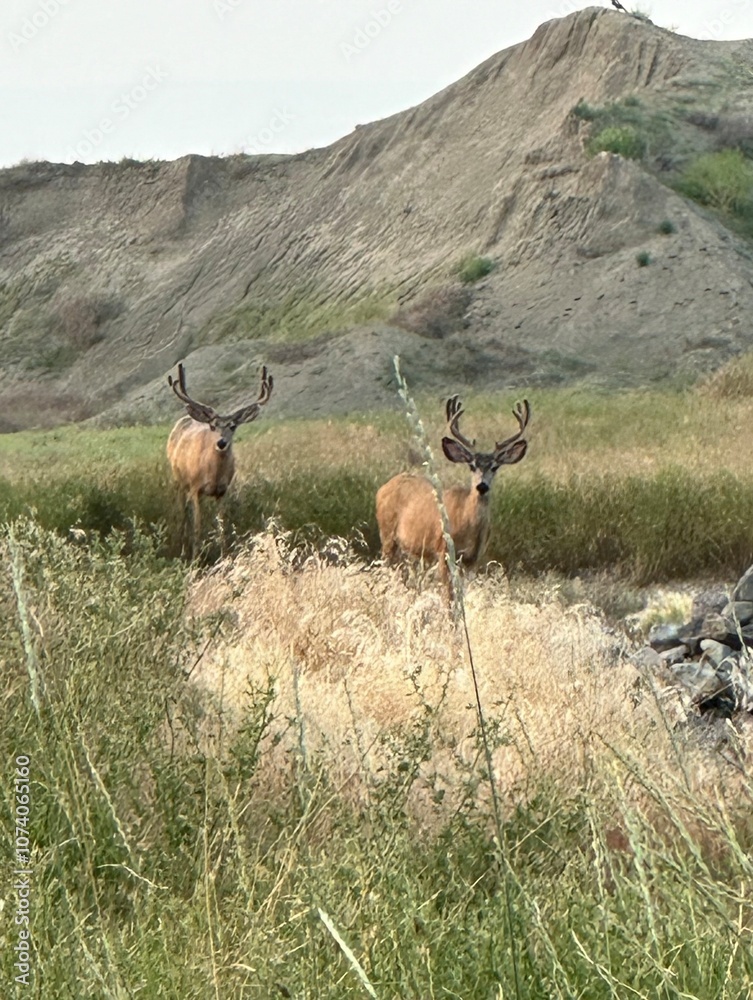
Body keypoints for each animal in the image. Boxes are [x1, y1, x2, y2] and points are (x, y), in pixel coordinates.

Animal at [166, 362, 273, 557]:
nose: (221, 443)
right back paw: (183, 548)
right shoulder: (195, 489)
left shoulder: (222, 491)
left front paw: (225, 555)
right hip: (179, 481)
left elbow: (223, 527)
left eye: (233, 426)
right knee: (182, 514)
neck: (212, 473)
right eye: (213, 426)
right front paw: (195, 558)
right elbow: (197, 527)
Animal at [375, 394, 530, 601]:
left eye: (495, 467)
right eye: (472, 465)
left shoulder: (473, 559)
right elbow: (448, 595)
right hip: (387, 536)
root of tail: (383, 487)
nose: (482, 486)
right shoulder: (443, 549)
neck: (468, 522)